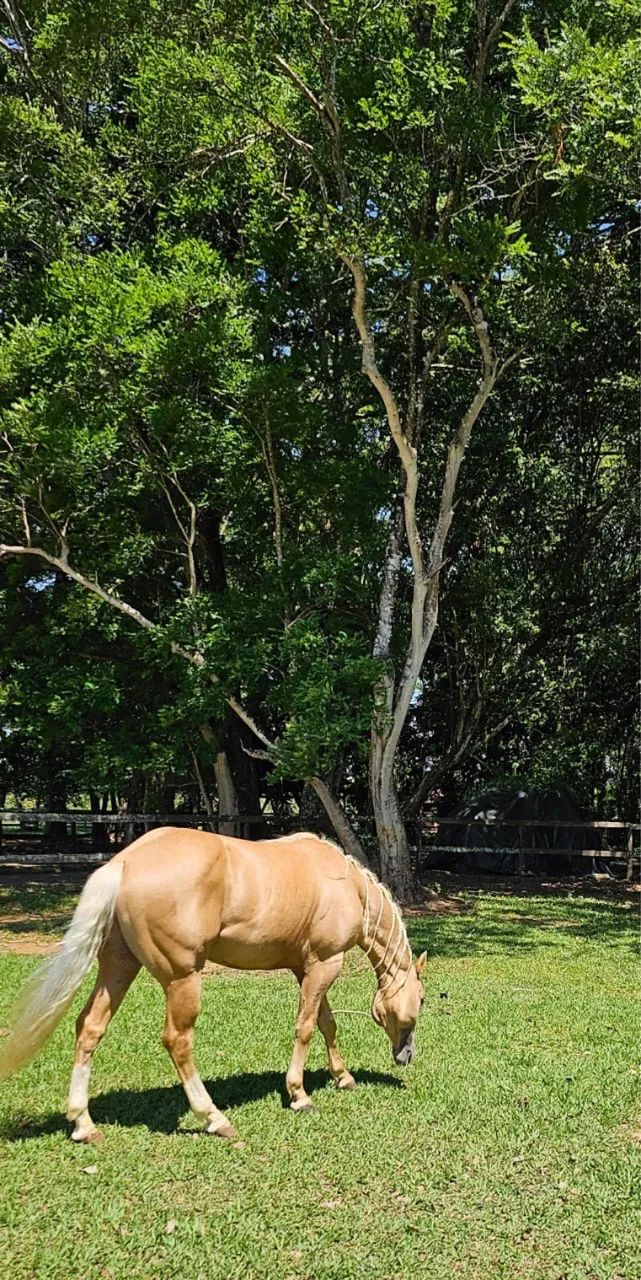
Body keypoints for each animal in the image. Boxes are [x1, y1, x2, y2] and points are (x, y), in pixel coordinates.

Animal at [0, 828, 426, 1142]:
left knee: (89, 1027)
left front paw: (343, 1077)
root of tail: (124, 862)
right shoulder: (325, 964)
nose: (406, 1055)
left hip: (118, 968)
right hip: (182, 978)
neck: (347, 884)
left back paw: (83, 1124)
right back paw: (214, 1118)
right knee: (177, 1041)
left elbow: (326, 1024)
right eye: (421, 999)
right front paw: (299, 1094)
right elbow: (306, 1028)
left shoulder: (305, 968)